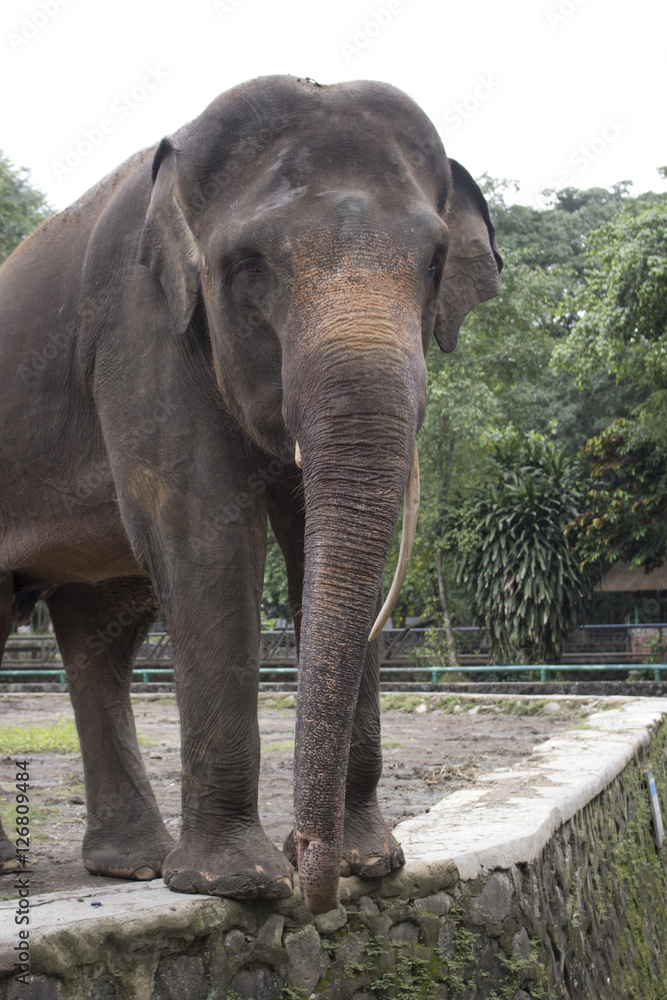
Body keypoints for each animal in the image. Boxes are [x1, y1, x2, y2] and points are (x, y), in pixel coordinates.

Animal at [0, 75, 501, 913]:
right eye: (247, 266)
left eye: (435, 261)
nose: (307, 856)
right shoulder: (138, 326)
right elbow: (204, 533)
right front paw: (238, 885)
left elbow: (312, 541)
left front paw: (370, 863)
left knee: (101, 634)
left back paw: (130, 864)